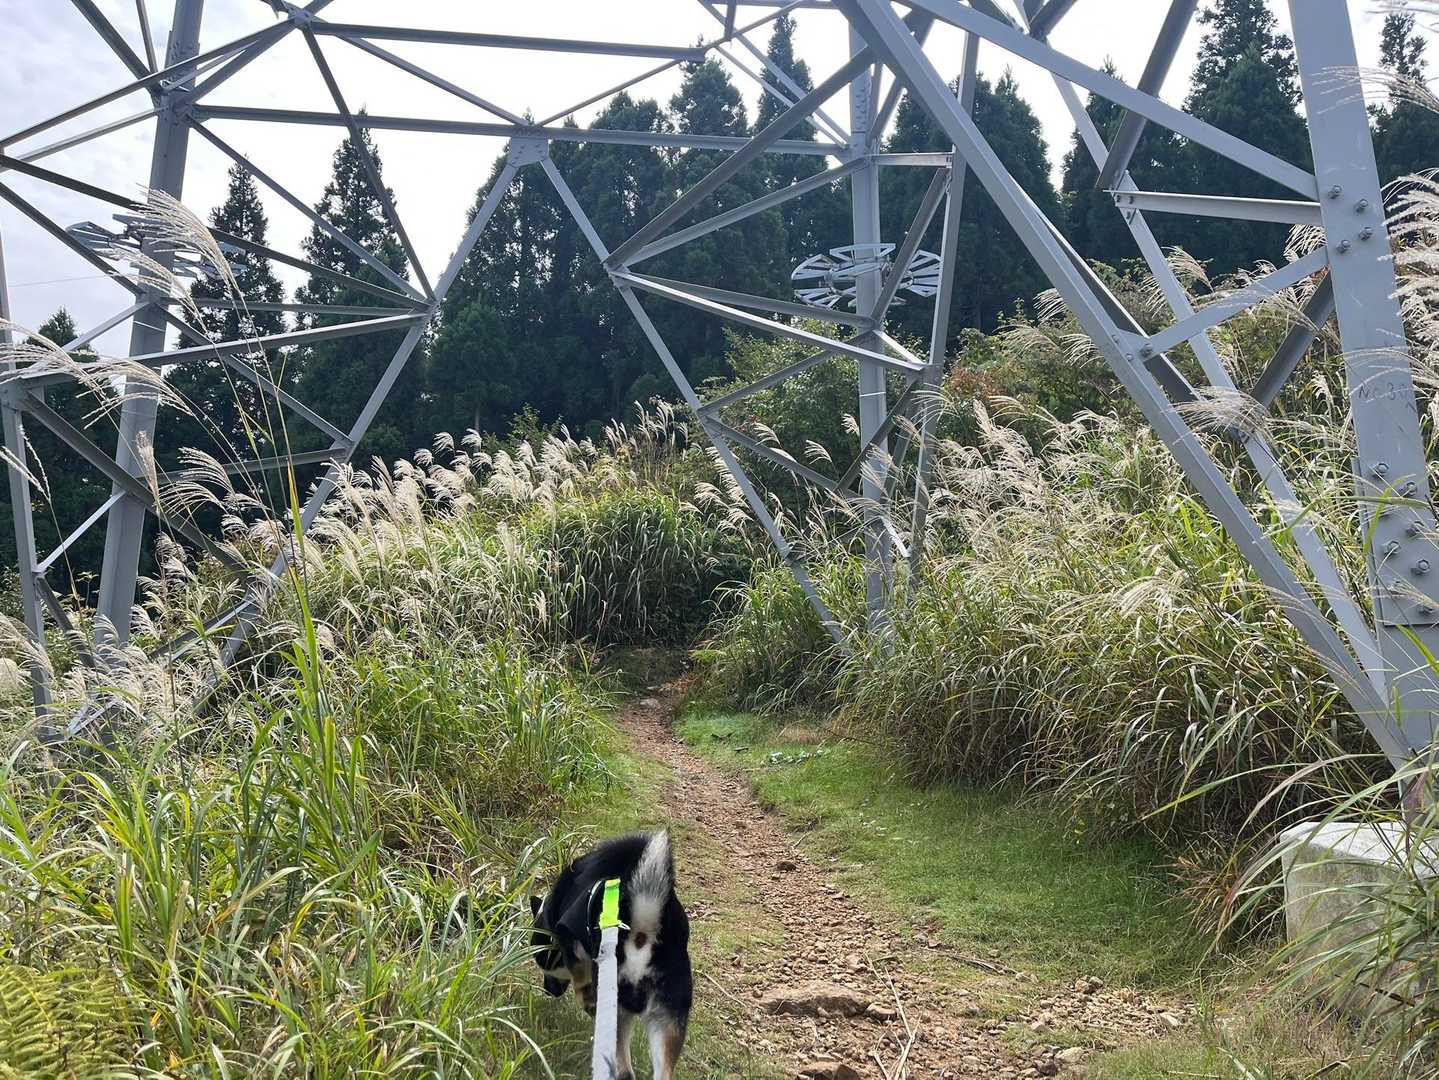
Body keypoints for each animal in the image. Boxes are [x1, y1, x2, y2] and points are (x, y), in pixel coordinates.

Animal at [531, 831, 692, 1080]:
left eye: (545, 966)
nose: (549, 991)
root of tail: (643, 932)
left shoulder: (569, 937)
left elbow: (579, 974)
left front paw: (585, 998)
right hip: (667, 1020)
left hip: (617, 1011)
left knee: (622, 1068)